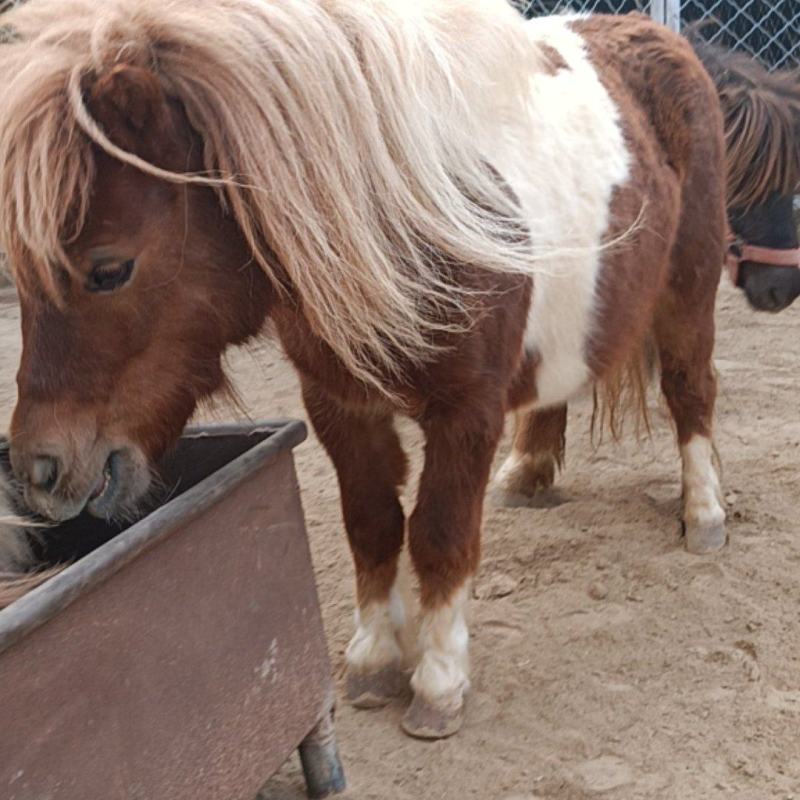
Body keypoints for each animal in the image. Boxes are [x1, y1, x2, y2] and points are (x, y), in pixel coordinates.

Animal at [0, 2, 728, 739]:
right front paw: (376, 659)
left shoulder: (466, 411)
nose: (40, 469)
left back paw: (704, 514)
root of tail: (656, 36)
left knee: (689, 391)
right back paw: (528, 472)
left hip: (689, 288)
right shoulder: (340, 406)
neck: (399, 215)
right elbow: (372, 523)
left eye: (109, 269)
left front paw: (439, 682)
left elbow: (438, 532)